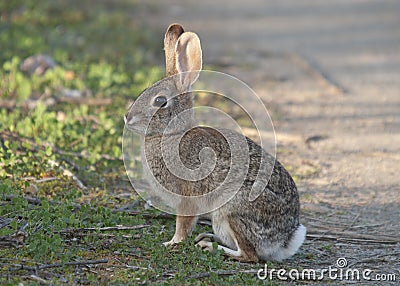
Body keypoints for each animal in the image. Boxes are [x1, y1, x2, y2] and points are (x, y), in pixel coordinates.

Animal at [125, 23, 306, 262]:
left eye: (160, 101)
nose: (127, 117)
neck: (171, 134)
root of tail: (285, 239)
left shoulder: (188, 197)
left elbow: (183, 224)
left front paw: (172, 243)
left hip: (230, 211)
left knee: (250, 255)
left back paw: (210, 247)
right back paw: (207, 238)